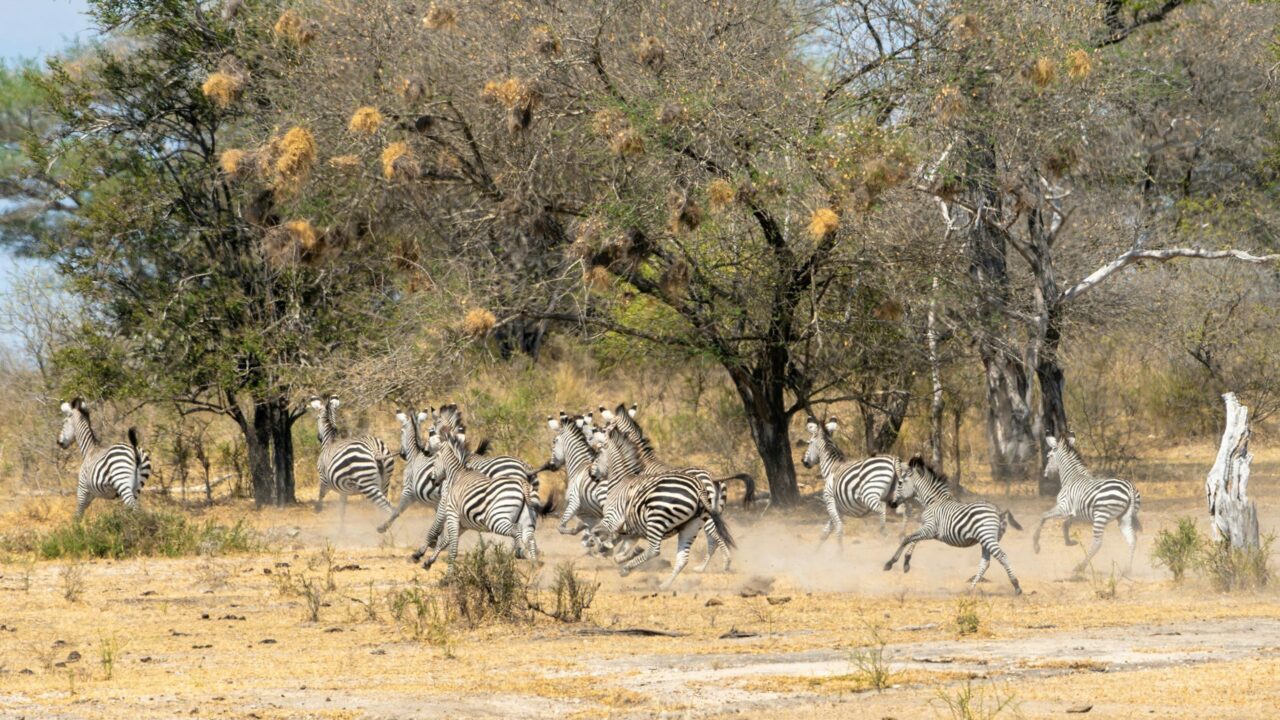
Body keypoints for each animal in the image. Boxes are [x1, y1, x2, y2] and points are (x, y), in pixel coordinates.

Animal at [412, 432, 551, 570]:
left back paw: (518, 552)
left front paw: (420, 554)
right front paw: (429, 561)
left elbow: (440, 534)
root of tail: (523, 481)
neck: (458, 474)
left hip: (496, 519)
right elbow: (445, 541)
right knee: (530, 538)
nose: (431, 479)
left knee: (516, 529)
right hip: (528, 518)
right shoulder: (463, 523)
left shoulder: (449, 509)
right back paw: (532, 563)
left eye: (435, 459)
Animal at [587, 430, 736, 589]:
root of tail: (699, 487)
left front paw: (605, 548)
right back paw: (664, 585)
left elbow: (598, 532)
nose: (590, 474)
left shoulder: (612, 518)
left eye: (596, 454)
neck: (621, 480)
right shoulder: (633, 532)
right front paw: (628, 554)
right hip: (692, 526)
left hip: (657, 519)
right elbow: (619, 553)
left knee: (654, 550)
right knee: (683, 559)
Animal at [800, 416, 906, 545]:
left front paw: (839, 549)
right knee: (903, 510)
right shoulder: (838, 507)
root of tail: (893, 460)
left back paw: (884, 532)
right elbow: (825, 532)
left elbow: (838, 528)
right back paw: (902, 536)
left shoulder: (829, 500)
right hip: (895, 494)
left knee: (882, 508)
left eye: (809, 443)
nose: (804, 462)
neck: (831, 467)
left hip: (870, 494)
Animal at [883, 457, 1023, 595]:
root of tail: (998, 511)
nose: (891, 503)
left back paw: (1016, 586)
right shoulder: (927, 528)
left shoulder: (930, 529)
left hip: (987, 537)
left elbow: (907, 538)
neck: (933, 501)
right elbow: (913, 540)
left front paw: (890, 563)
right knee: (985, 563)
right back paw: (970, 589)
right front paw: (906, 562)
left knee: (1002, 556)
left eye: (900, 483)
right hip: (987, 539)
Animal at [1033, 435, 1142, 575]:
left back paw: (1080, 566)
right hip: (1124, 517)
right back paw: (1127, 569)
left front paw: (1036, 546)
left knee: (1097, 542)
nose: (1046, 476)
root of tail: (1129, 488)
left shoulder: (1063, 507)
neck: (1072, 477)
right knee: (1132, 539)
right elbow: (1064, 524)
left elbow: (1044, 515)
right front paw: (1070, 542)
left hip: (1101, 515)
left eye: (1049, 456)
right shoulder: (1076, 513)